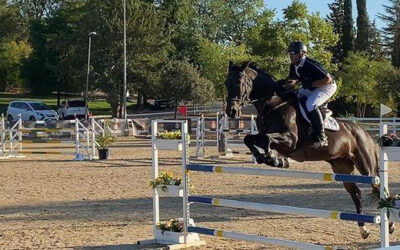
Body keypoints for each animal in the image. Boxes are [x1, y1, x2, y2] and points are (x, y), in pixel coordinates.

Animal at [225, 60, 394, 238]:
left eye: (239, 82)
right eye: (226, 83)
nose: (231, 111)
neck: (274, 104)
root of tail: (364, 132)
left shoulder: (290, 140)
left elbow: (266, 139)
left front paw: (274, 159)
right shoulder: (270, 136)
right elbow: (250, 138)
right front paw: (265, 157)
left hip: (366, 167)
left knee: (378, 188)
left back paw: (389, 226)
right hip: (342, 166)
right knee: (355, 193)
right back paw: (364, 229)